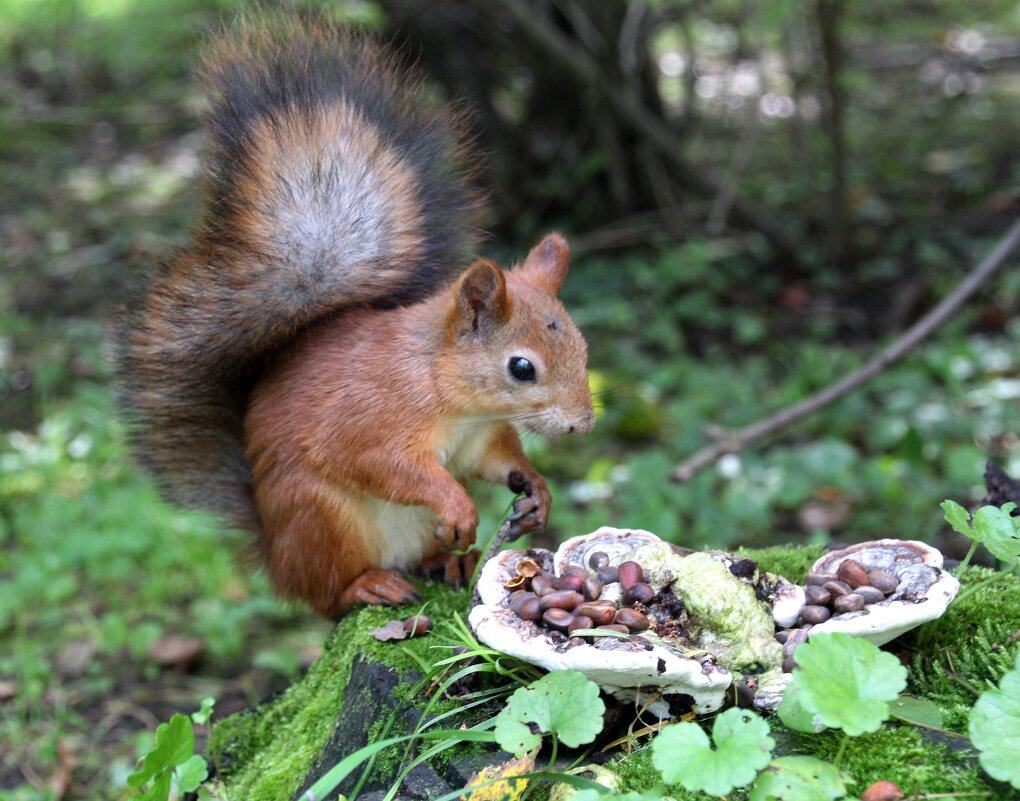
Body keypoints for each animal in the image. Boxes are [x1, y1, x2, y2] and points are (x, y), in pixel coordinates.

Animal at [111, 14, 595, 620]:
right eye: (522, 368)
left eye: (582, 348)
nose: (583, 425)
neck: (450, 395)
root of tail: (274, 555)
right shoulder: (369, 419)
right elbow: (380, 464)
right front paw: (458, 503)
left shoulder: (480, 439)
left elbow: (500, 457)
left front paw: (536, 488)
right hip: (319, 516)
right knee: (327, 593)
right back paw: (370, 585)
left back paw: (451, 564)